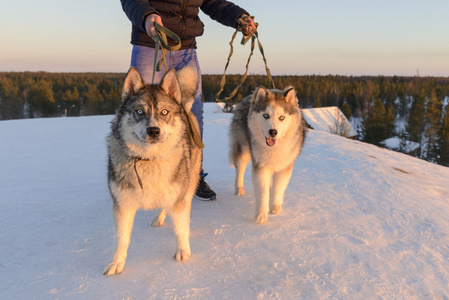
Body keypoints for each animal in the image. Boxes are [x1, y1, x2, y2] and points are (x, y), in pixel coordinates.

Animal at [103, 65, 201, 276]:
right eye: (140, 111)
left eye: (164, 112)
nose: (153, 130)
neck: (149, 160)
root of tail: (183, 107)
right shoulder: (123, 205)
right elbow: (122, 238)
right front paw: (116, 262)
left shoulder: (178, 198)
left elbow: (180, 228)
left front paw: (183, 250)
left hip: (189, 181)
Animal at [229, 85, 306, 224]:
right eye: (265, 115)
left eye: (282, 117)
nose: (273, 132)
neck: (273, 148)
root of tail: (250, 96)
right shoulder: (261, 166)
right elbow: (262, 191)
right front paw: (261, 215)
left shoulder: (284, 167)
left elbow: (278, 189)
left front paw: (275, 207)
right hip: (243, 148)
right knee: (240, 169)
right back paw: (239, 188)